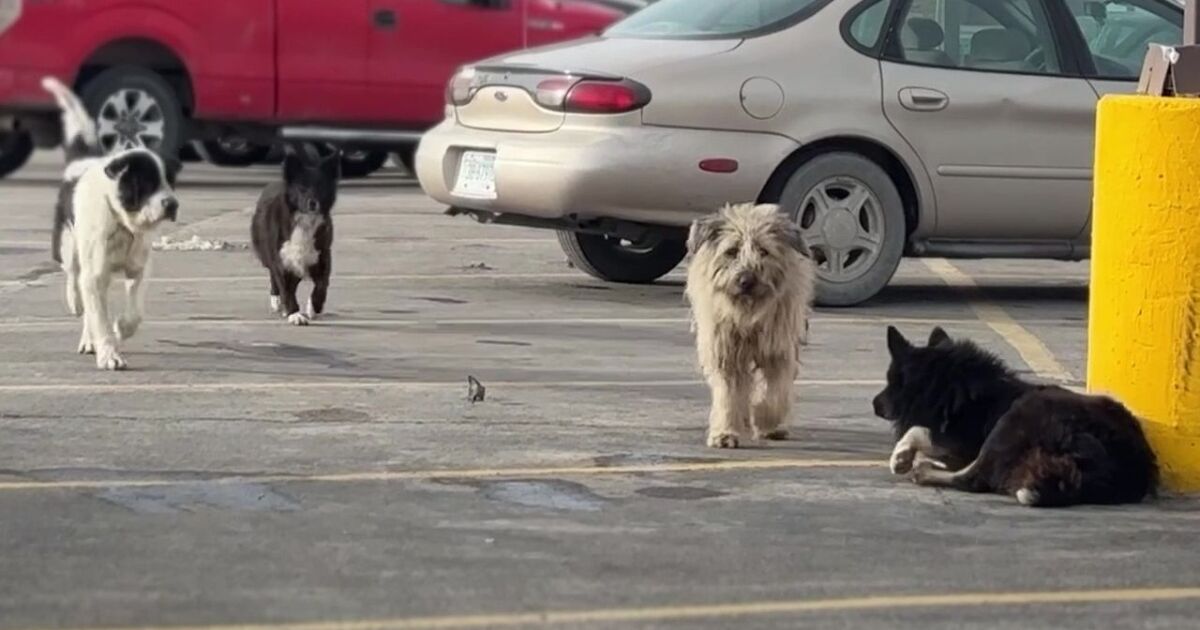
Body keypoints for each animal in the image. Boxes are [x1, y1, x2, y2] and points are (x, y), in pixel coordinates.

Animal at [43, 77, 181, 371]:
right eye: (147, 183)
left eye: (170, 182)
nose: (172, 204)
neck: (122, 224)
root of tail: (81, 161)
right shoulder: (95, 274)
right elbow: (98, 317)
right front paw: (109, 355)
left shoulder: (140, 268)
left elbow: (135, 312)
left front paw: (121, 329)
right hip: (68, 243)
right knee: (73, 275)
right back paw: (75, 303)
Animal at [250, 145, 340, 325]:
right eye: (302, 187)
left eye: (321, 186)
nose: (313, 203)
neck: (304, 220)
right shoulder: (281, 259)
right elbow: (285, 287)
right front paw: (294, 313)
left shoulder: (322, 256)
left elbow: (322, 285)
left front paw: (313, 307)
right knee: (275, 279)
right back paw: (278, 302)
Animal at [685, 203, 816, 448]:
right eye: (731, 251)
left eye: (763, 251)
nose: (746, 281)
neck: (747, 314)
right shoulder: (724, 351)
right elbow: (728, 393)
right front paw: (724, 432)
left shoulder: (778, 349)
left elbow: (774, 391)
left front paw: (768, 423)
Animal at [873, 326, 1159, 507]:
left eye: (890, 381)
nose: (874, 404)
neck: (950, 386)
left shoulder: (962, 442)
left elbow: (918, 430)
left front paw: (902, 456)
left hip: (1017, 416)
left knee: (975, 478)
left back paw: (923, 471)